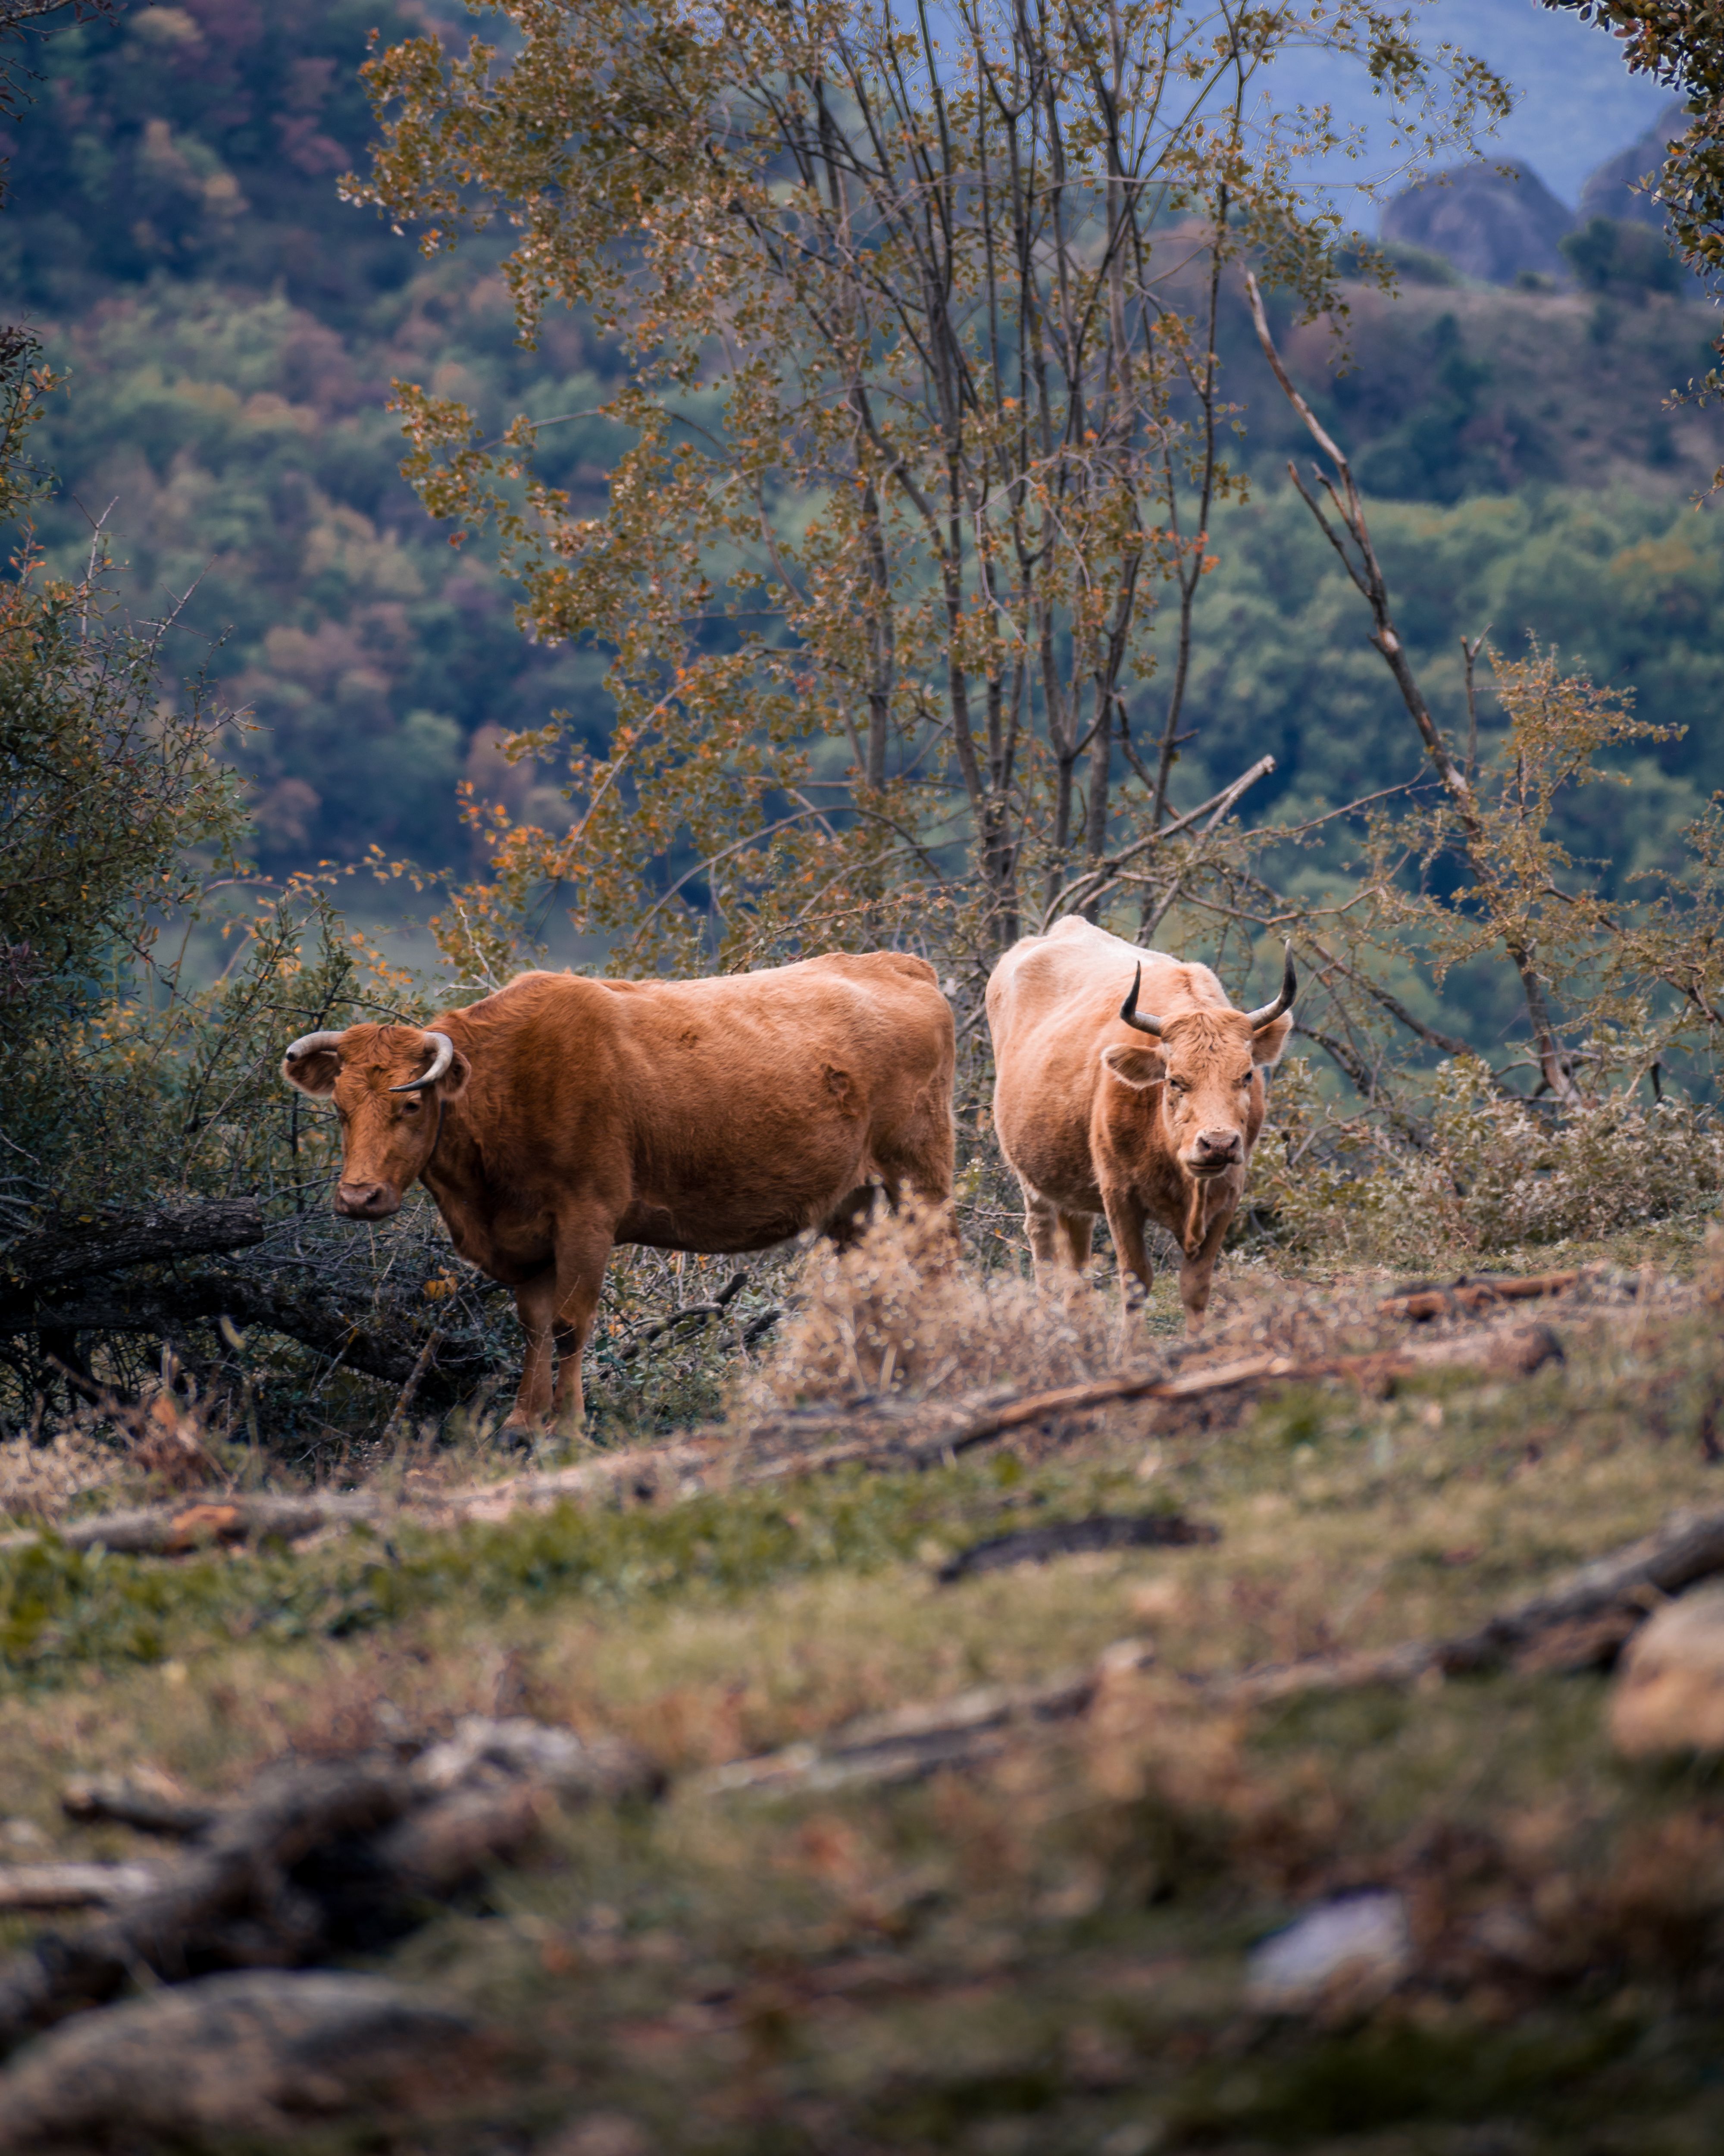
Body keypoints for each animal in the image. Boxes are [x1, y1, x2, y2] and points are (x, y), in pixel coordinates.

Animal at [281, 954, 955, 1433]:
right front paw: (523, 1422)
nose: (359, 1197)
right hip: (851, 1201)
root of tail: (893, 962)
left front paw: (570, 1425)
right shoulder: (525, 1239)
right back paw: (860, 1385)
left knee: (936, 1267)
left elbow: (569, 1325)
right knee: (865, 1286)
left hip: (919, 1175)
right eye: (339, 1109)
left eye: (413, 1104)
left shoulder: (587, 1217)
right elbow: (532, 1326)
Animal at [986, 917, 1295, 1330]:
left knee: (1077, 1250)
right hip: (1032, 1178)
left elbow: (1196, 1285)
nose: (1217, 1143)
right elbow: (1136, 1281)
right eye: (1174, 1080)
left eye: (1246, 1075)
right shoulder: (1120, 1196)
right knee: (1043, 1242)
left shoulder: (1228, 1195)